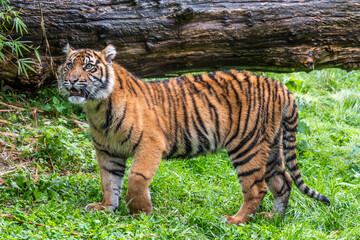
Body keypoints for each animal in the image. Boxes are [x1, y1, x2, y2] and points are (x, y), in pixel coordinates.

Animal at [58, 43, 330, 225]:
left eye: (89, 67)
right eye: (69, 65)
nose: (72, 80)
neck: (98, 107)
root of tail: (280, 86)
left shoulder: (150, 144)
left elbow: (136, 178)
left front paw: (141, 213)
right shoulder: (108, 151)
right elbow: (108, 181)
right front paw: (106, 208)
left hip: (247, 146)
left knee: (257, 188)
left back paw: (235, 220)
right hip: (271, 146)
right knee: (283, 181)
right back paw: (273, 219)